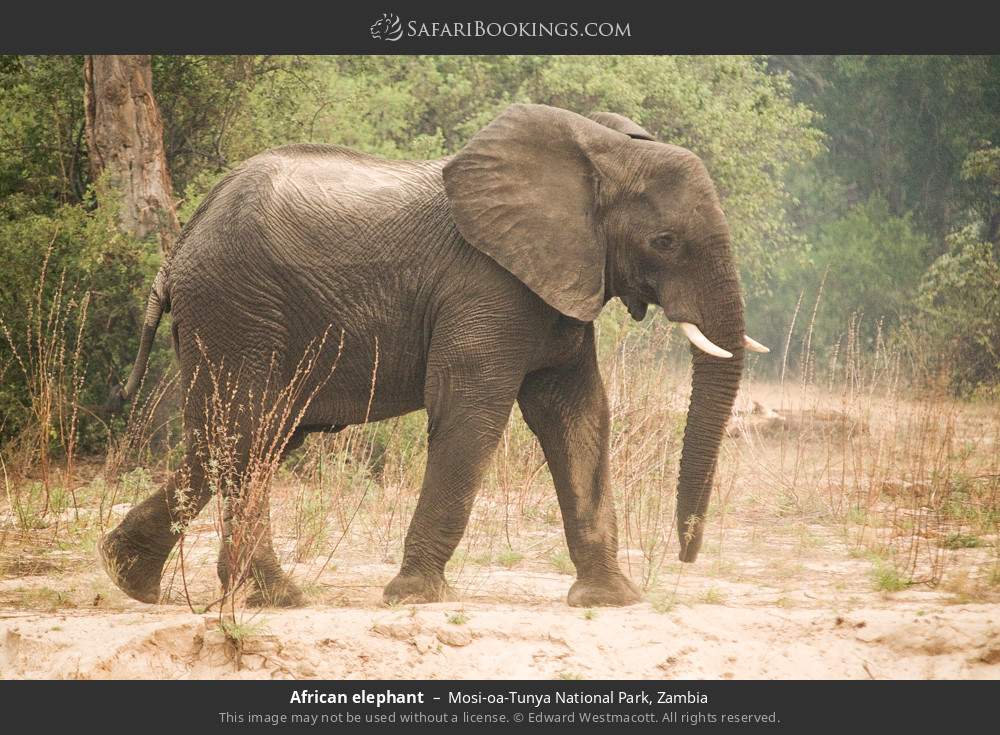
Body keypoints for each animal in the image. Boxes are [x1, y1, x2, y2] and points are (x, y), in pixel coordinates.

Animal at [99, 103, 768, 609]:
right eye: (665, 242)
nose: (687, 555)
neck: (599, 151)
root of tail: (179, 247)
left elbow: (577, 416)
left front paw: (613, 599)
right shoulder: (486, 284)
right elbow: (472, 413)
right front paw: (416, 596)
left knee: (238, 438)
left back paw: (130, 578)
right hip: (237, 307)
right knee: (246, 430)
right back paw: (275, 598)